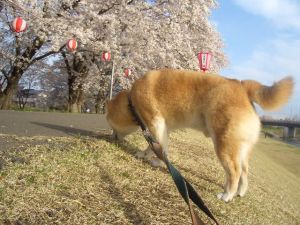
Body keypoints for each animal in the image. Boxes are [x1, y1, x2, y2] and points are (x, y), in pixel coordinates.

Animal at [105, 69, 292, 202]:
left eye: (111, 126)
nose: (111, 137)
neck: (131, 102)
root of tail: (242, 86)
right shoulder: (163, 128)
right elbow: (156, 146)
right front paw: (148, 155)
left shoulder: (155, 122)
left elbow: (157, 145)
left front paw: (156, 160)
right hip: (241, 149)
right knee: (244, 172)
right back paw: (239, 192)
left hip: (224, 144)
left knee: (234, 172)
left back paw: (227, 195)